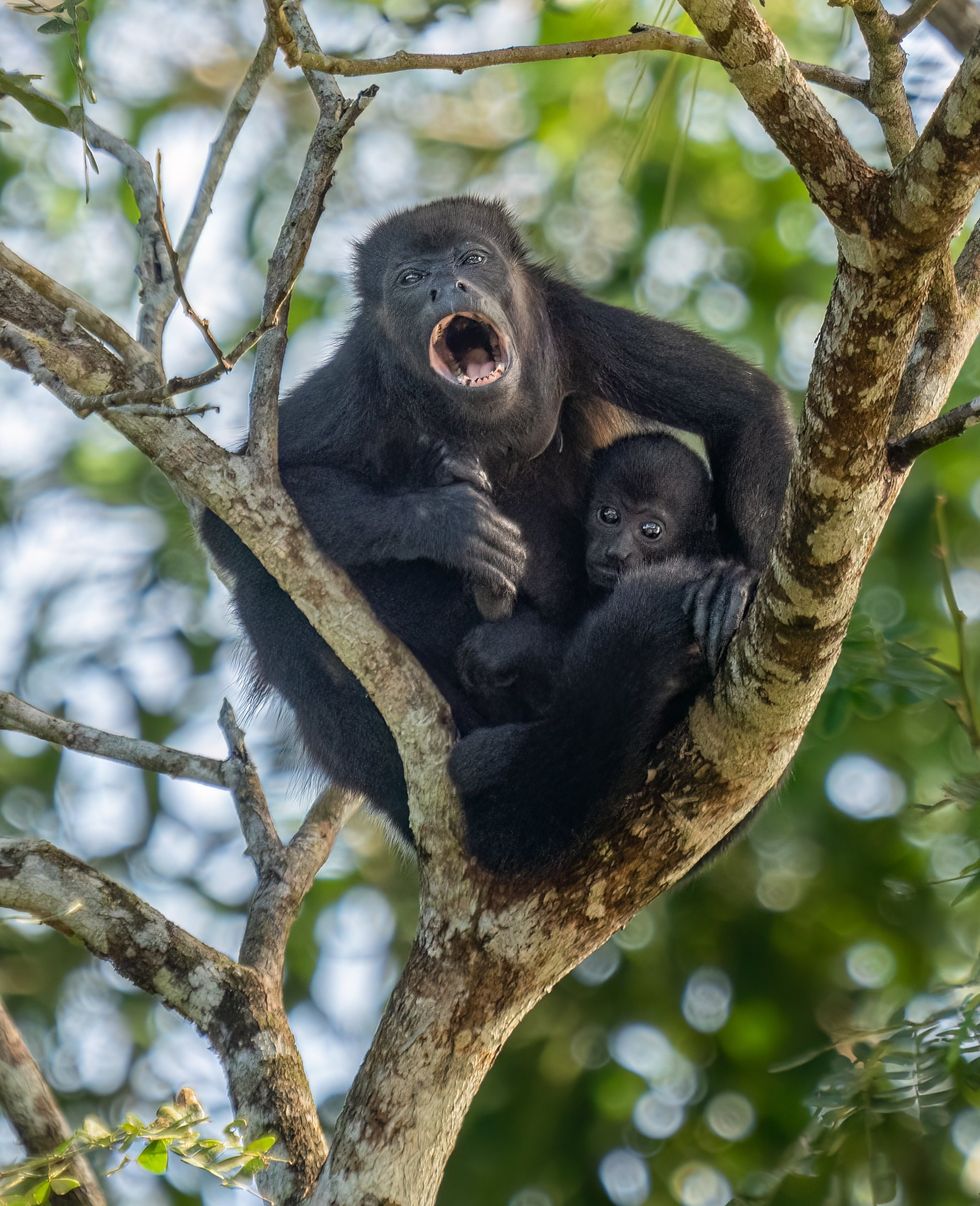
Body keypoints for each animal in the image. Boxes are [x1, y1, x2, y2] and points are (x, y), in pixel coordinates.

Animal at [199, 196, 793, 865]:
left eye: (472, 260)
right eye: (409, 278)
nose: (445, 287)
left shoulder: (571, 323)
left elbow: (745, 406)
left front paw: (738, 582)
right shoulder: (363, 376)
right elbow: (231, 523)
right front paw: (451, 523)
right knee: (267, 591)